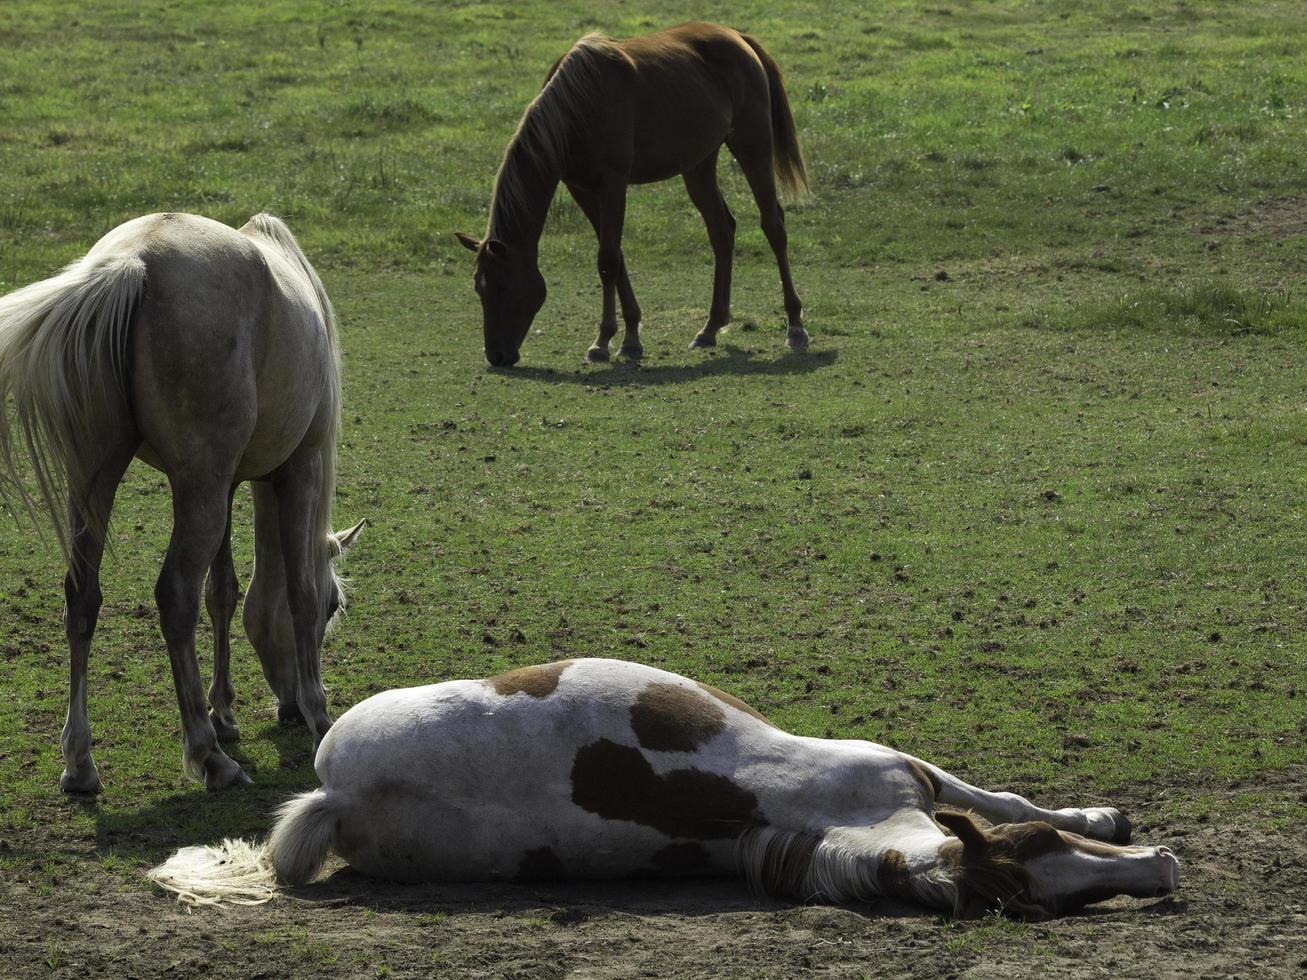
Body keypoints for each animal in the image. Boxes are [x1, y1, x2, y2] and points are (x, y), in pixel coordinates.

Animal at [0, 211, 363, 794]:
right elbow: (298, 593)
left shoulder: (227, 482)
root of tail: (133, 263)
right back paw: (208, 754)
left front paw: (226, 712)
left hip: (104, 481)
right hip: (196, 490)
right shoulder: (298, 468)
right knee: (174, 596)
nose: (286, 709)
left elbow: (224, 593)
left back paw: (80, 762)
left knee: (82, 596)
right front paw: (317, 715)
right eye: (337, 607)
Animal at [457, 22, 805, 368]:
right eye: (478, 287)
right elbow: (615, 256)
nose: (497, 355)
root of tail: (738, 37)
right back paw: (710, 328)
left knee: (773, 225)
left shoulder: (613, 183)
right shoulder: (581, 189)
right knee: (721, 230)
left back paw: (795, 326)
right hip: (698, 164)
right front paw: (630, 338)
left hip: (752, 144)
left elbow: (608, 260)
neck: (578, 106)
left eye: (503, 286)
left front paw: (604, 342)